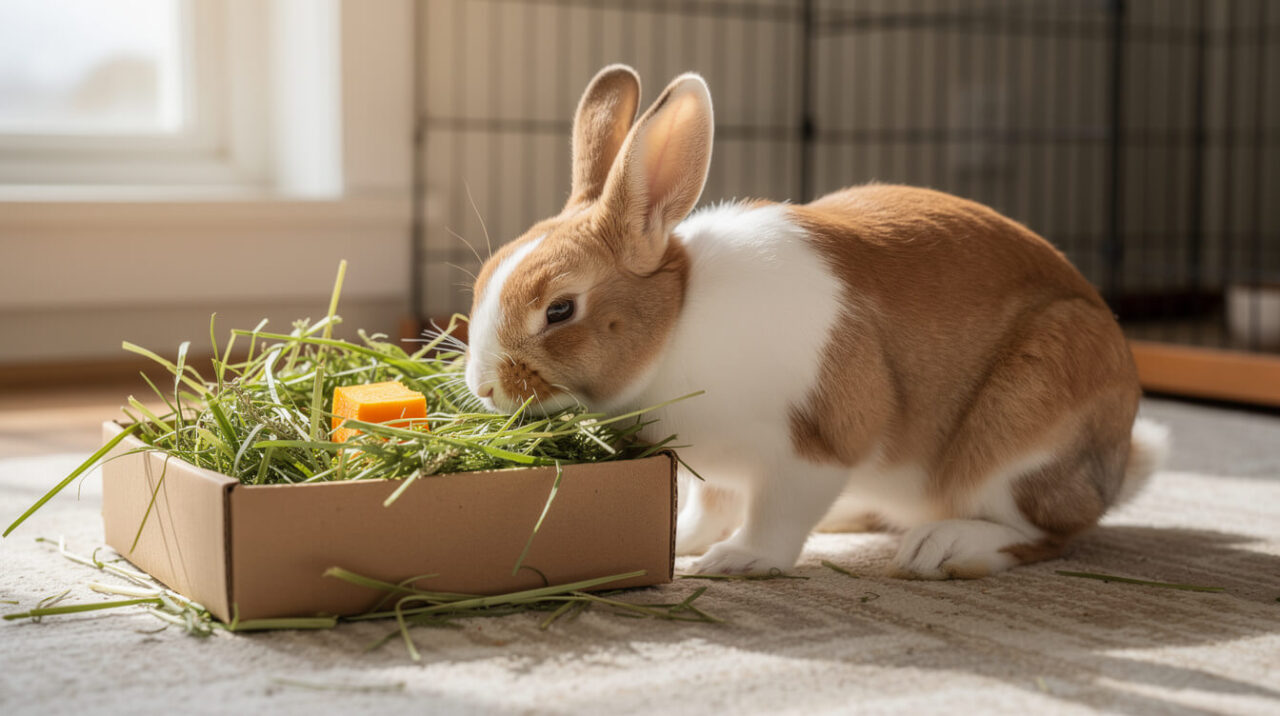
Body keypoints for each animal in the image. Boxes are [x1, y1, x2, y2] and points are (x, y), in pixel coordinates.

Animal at [463, 64, 1170, 578]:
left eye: (560, 309)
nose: (486, 387)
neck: (677, 324)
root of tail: (1115, 462)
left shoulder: (814, 447)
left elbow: (776, 518)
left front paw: (734, 562)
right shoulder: (714, 468)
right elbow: (709, 505)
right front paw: (686, 542)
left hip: (1021, 431)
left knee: (1046, 533)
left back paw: (940, 550)